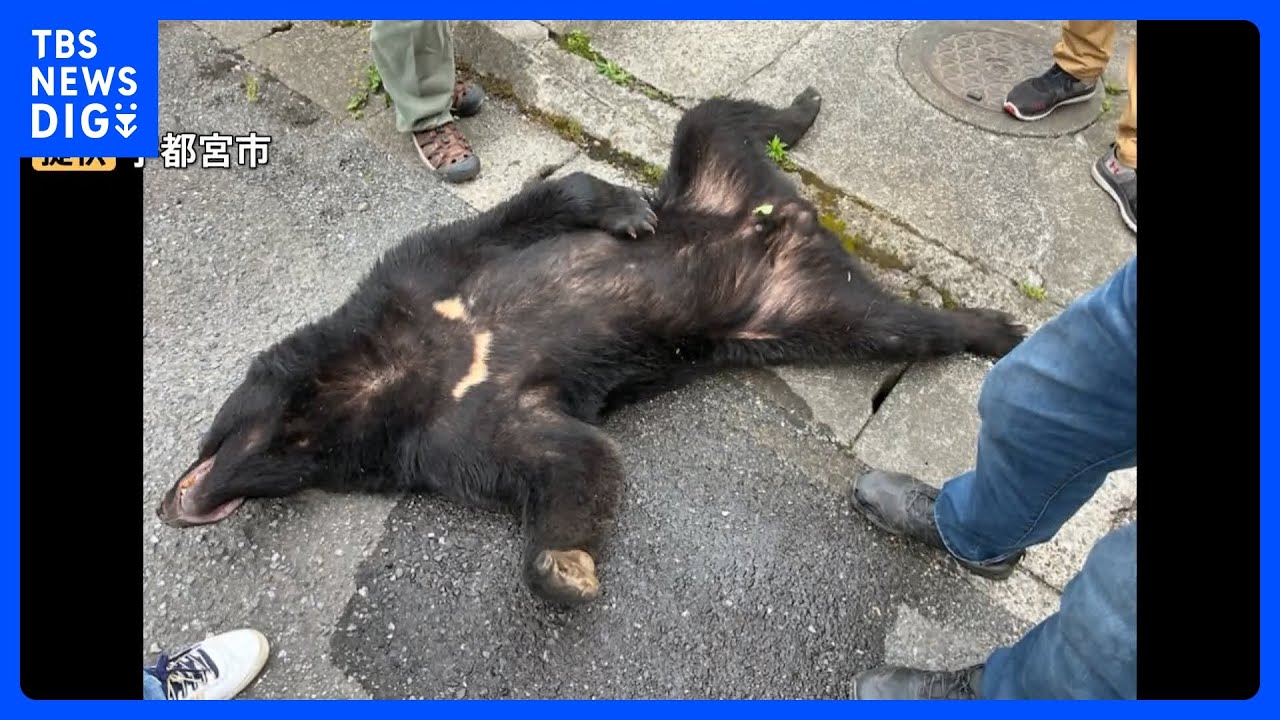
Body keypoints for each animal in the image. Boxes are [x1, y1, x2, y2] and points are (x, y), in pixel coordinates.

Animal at [155, 86, 1026, 607]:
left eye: (213, 431)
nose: (175, 504)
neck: (386, 378)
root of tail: (786, 215)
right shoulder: (445, 436)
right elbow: (572, 459)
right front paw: (564, 569)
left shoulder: (421, 275)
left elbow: (533, 207)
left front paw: (626, 214)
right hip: (799, 309)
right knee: (892, 322)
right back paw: (986, 326)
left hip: (709, 177)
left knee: (714, 117)